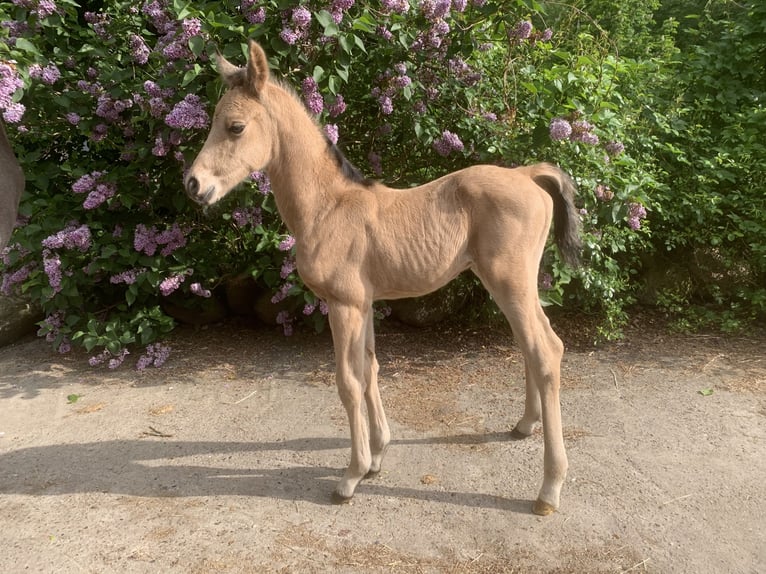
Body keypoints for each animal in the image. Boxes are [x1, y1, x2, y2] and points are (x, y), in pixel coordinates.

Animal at [186, 40, 584, 516]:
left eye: (236, 127)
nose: (193, 184)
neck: (329, 207)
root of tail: (527, 174)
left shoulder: (343, 304)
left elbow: (348, 381)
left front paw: (351, 476)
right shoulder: (365, 304)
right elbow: (371, 368)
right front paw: (377, 456)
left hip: (510, 282)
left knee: (546, 351)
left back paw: (549, 489)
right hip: (513, 286)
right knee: (531, 346)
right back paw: (524, 425)